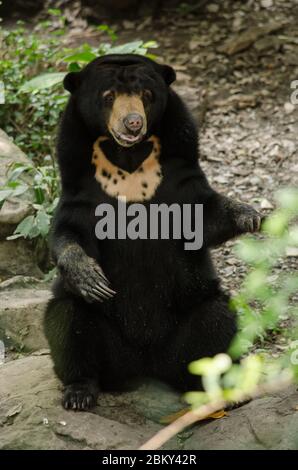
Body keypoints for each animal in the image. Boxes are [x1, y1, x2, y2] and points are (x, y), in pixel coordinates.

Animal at [43, 53, 262, 410]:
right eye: (108, 97)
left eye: (146, 95)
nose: (132, 123)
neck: (129, 159)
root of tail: (146, 367)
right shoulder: (78, 181)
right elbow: (69, 231)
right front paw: (89, 276)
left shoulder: (179, 169)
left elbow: (202, 214)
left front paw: (251, 215)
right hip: (101, 339)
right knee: (66, 319)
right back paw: (80, 392)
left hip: (191, 319)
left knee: (217, 320)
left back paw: (222, 391)